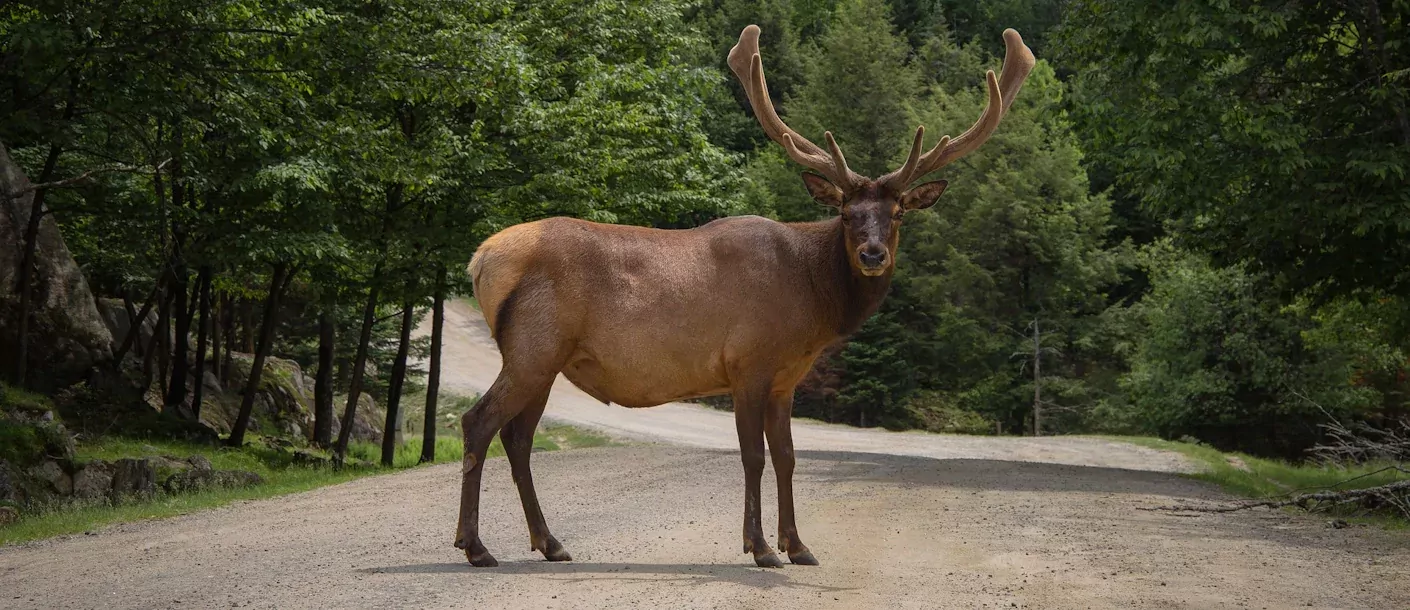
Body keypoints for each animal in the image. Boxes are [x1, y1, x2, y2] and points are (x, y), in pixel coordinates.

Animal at [454, 22, 1037, 566]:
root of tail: (481, 259)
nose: (873, 254)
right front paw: (759, 547)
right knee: (479, 422)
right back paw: (475, 545)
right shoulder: (747, 361)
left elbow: (787, 455)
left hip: (545, 358)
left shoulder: (786, 379)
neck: (812, 304)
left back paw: (549, 543)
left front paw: (799, 545)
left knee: (518, 437)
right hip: (533, 346)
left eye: (896, 214)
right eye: (846, 212)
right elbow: (752, 456)